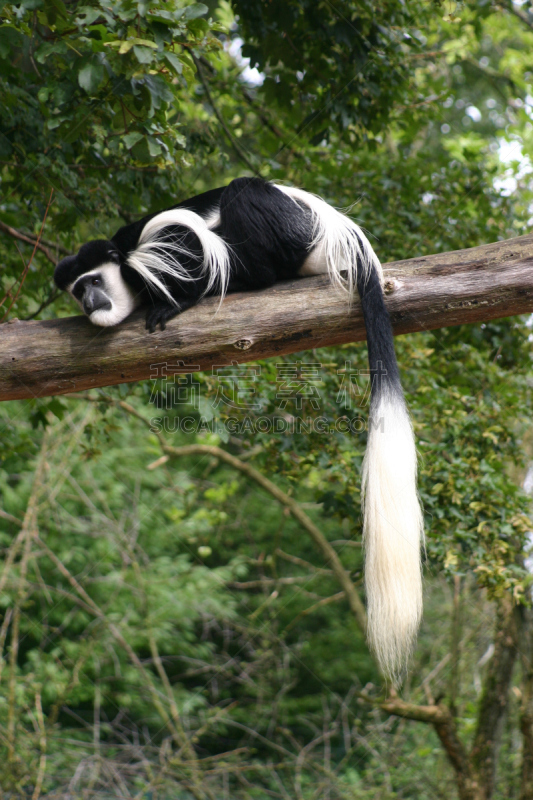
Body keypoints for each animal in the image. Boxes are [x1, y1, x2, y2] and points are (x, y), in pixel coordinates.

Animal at [53, 178, 420, 680]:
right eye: (77, 290)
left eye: (92, 282)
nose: (90, 303)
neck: (127, 273)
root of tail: (345, 234)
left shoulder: (153, 245)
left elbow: (192, 241)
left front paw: (181, 299)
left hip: (296, 233)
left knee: (243, 198)